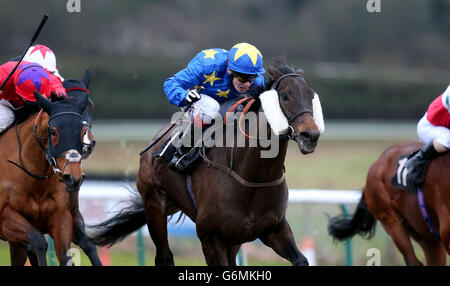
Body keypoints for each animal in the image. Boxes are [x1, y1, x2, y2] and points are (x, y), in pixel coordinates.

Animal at [89, 57, 320, 264]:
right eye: (285, 96)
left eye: (311, 96)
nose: (311, 135)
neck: (253, 176)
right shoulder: (211, 236)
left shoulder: (274, 229)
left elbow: (301, 260)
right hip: (155, 205)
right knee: (164, 257)